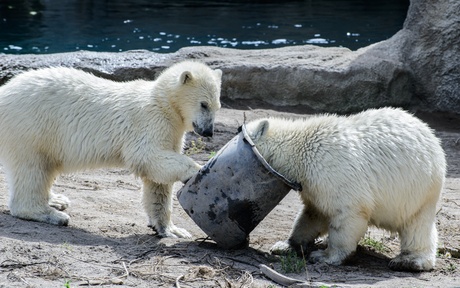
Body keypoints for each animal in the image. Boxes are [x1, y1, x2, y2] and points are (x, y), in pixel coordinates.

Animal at [0, 60, 223, 238]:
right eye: (204, 104)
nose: (208, 131)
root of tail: (5, 92)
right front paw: (198, 169)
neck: (162, 102)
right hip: (31, 127)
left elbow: (157, 184)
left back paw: (57, 200)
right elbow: (147, 157)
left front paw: (171, 230)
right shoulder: (150, 122)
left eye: (217, 106)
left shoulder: (172, 132)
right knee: (32, 169)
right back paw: (53, 214)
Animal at [246, 108, 448, 272]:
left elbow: (345, 214)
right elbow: (313, 214)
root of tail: (432, 138)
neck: (302, 149)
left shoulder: (333, 171)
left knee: (416, 223)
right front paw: (285, 245)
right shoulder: (313, 186)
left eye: (240, 130)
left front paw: (323, 256)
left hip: (417, 188)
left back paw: (409, 261)